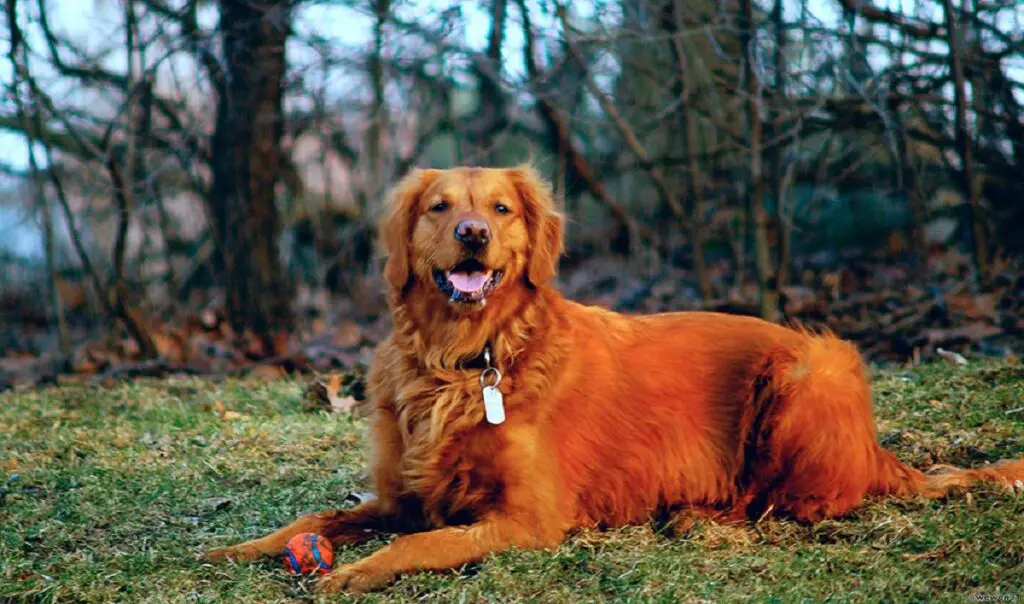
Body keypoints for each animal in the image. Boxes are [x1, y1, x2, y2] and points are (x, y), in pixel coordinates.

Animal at [207, 166, 1024, 597]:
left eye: (500, 208)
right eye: (440, 207)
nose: (473, 233)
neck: (465, 361)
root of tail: (883, 452)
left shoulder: (528, 520)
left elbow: (422, 545)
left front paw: (355, 573)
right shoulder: (400, 495)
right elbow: (316, 518)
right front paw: (238, 548)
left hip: (810, 368)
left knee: (799, 502)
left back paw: (700, 515)